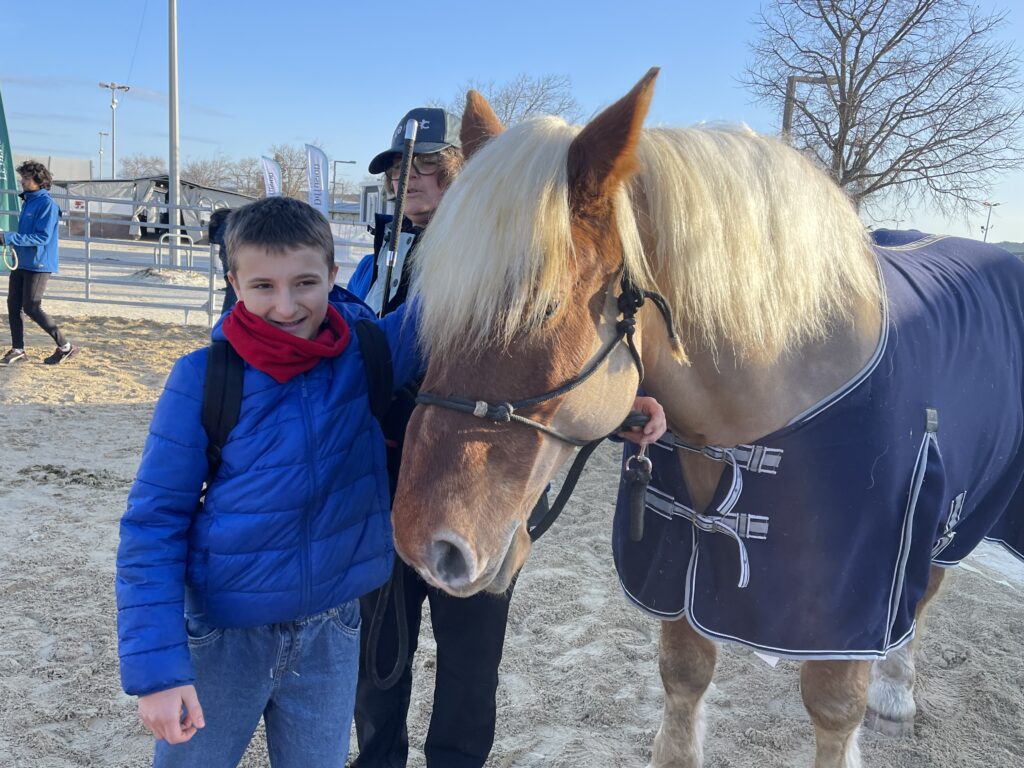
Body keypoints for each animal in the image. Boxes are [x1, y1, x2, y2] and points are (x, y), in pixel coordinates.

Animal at [390, 68, 1024, 767]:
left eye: (545, 306)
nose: (424, 547)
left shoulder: (851, 602)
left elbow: (835, 708)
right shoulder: (679, 569)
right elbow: (685, 672)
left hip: (962, 515)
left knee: (926, 595)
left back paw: (896, 692)